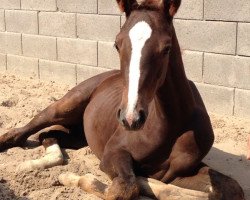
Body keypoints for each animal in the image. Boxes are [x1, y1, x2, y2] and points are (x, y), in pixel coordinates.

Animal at [0, 0, 245, 200]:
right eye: (117, 44)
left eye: (166, 48)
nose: (130, 118)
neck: (170, 122)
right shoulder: (113, 153)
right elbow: (125, 188)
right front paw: (73, 178)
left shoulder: (180, 171)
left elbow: (229, 188)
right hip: (64, 107)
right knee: (23, 132)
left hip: (78, 135)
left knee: (48, 136)